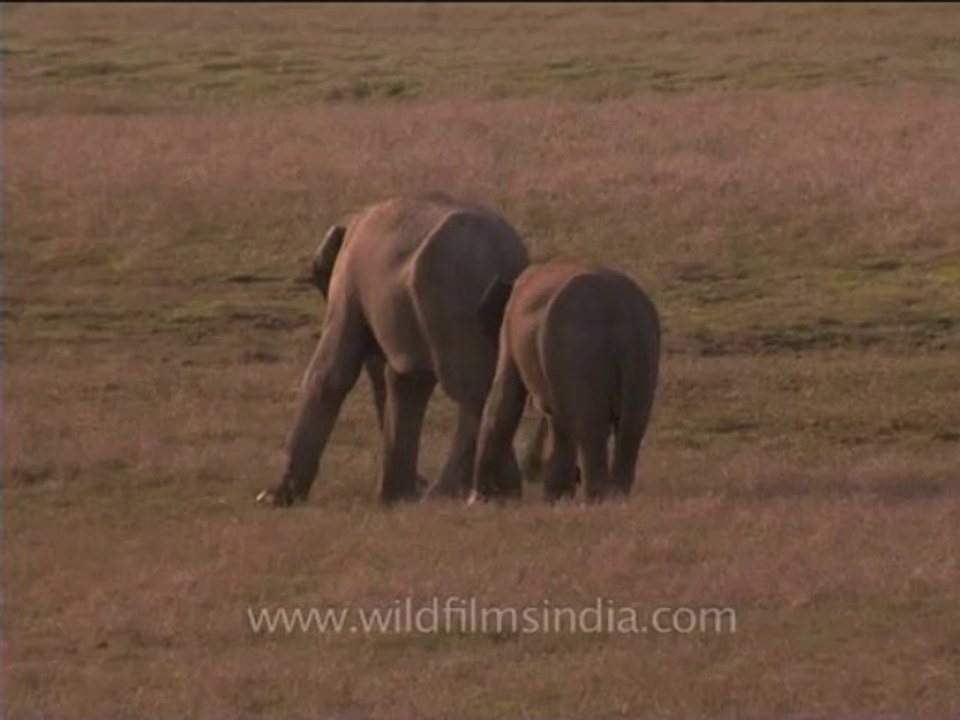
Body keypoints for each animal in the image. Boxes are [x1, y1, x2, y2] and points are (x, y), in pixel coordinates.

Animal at [258, 192, 539, 506]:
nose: (420, 480)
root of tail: (501, 256)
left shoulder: (348, 283)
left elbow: (331, 373)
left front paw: (273, 498)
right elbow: (407, 382)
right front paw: (395, 498)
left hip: (453, 305)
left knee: (469, 389)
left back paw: (470, 492)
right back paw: (487, 491)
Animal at [472, 260, 661, 502]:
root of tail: (616, 304)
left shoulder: (509, 327)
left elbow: (503, 399)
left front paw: (477, 500)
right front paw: (557, 498)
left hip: (579, 351)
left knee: (590, 430)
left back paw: (597, 500)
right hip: (643, 353)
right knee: (630, 429)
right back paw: (616, 499)